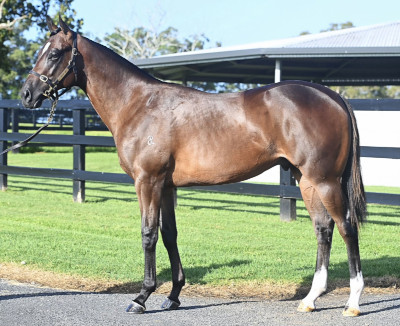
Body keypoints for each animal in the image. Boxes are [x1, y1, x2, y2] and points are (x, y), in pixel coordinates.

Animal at [20, 17, 368, 316]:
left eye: (54, 53)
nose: (26, 94)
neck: (138, 104)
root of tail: (331, 95)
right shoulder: (166, 185)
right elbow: (169, 234)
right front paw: (173, 295)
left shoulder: (147, 181)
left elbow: (148, 233)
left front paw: (141, 297)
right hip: (306, 180)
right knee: (323, 229)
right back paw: (310, 299)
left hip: (325, 180)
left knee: (347, 227)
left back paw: (352, 301)